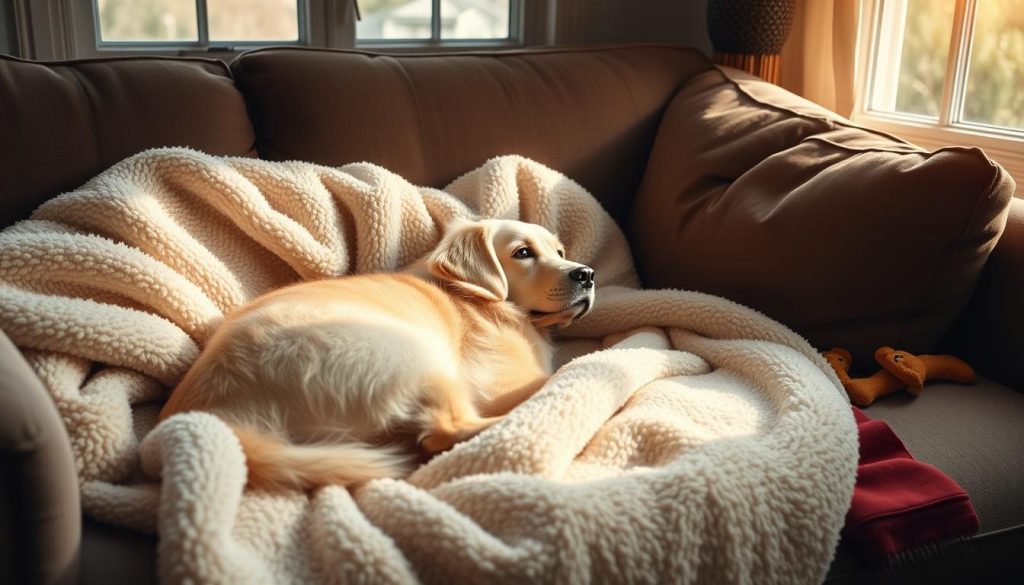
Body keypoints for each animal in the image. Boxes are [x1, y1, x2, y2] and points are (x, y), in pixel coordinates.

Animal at [155, 218, 598, 489]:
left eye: (560, 252)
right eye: (522, 253)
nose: (587, 274)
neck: (485, 301)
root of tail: (219, 415)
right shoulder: (496, 383)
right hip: (413, 353)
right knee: (444, 432)